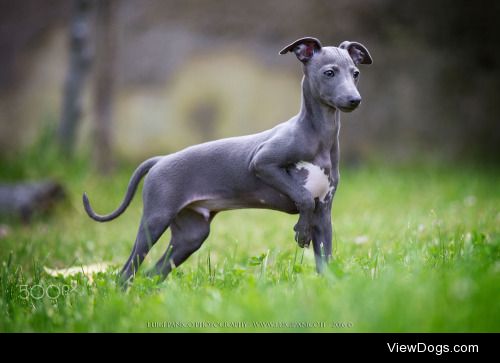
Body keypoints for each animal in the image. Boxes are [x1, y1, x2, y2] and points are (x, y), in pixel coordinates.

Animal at [83, 37, 372, 288]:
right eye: (329, 73)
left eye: (356, 73)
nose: (355, 100)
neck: (318, 136)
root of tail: (161, 159)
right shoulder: (262, 162)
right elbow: (301, 196)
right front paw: (301, 232)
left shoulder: (324, 214)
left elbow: (325, 261)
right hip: (155, 220)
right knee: (127, 271)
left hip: (191, 234)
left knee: (153, 272)